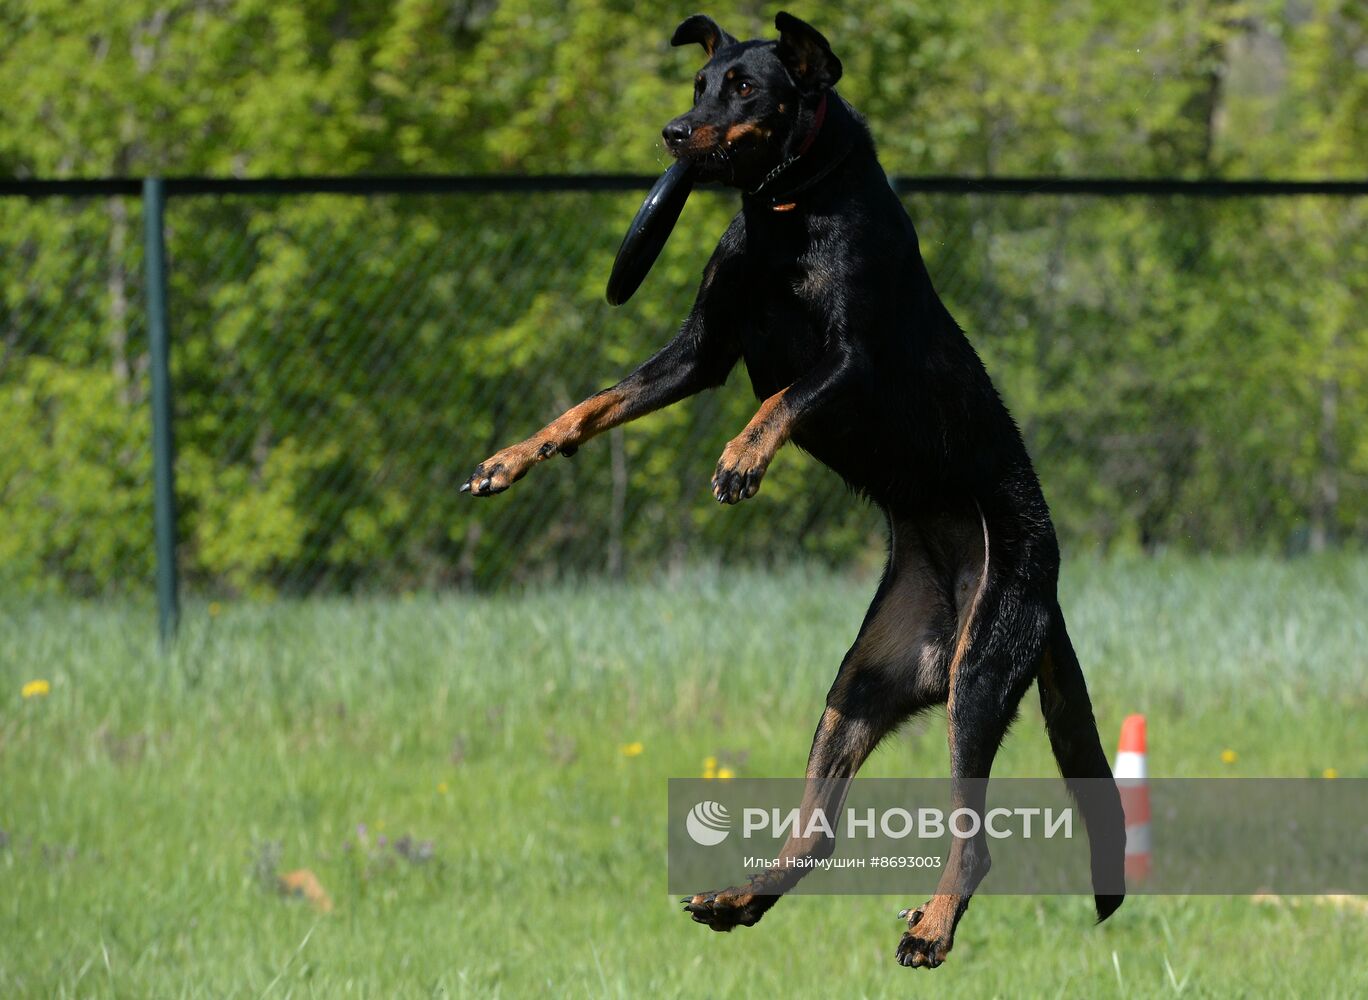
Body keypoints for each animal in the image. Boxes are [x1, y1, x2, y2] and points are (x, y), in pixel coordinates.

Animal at [465, 11, 1127, 968]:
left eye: (747, 89)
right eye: (701, 83)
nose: (674, 133)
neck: (788, 210)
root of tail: (1045, 590)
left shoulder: (847, 361)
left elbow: (780, 399)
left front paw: (743, 459)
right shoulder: (700, 351)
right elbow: (591, 405)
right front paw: (511, 458)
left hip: (979, 672)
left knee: (973, 838)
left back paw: (932, 928)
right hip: (861, 683)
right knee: (817, 832)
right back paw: (740, 897)